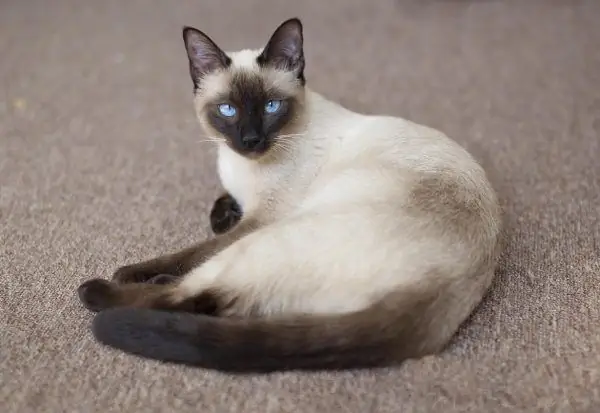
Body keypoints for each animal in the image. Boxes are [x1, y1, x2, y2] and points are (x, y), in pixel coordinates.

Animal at [77, 17, 504, 374]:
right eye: (227, 110)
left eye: (271, 106)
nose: (250, 140)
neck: (241, 165)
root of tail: (437, 293)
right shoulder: (242, 203)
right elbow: (220, 209)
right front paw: (221, 212)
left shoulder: (261, 219)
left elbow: (195, 251)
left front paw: (132, 271)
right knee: (212, 302)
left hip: (271, 239)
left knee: (188, 294)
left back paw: (102, 288)